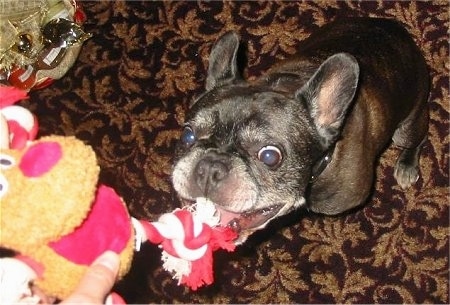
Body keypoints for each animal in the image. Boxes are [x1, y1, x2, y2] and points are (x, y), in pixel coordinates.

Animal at [171, 17, 428, 243]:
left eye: (270, 156)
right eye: (187, 135)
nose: (210, 166)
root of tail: (394, 27)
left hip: (405, 129)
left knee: (417, 138)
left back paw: (407, 164)